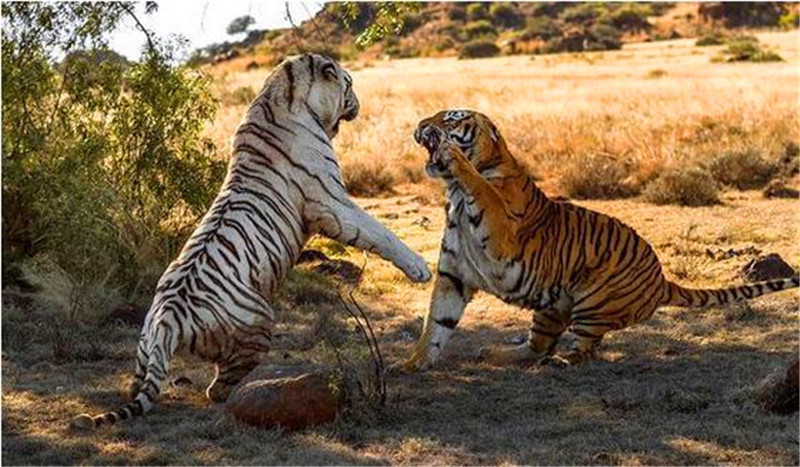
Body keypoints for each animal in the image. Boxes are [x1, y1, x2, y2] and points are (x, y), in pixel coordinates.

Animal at [396, 109, 796, 372]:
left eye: (450, 119)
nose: (421, 126)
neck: (453, 193)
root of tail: (662, 281)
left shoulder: (501, 237)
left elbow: (480, 187)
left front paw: (453, 155)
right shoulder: (453, 275)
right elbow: (435, 326)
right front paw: (411, 364)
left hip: (594, 300)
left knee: (583, 350)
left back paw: (561, 361)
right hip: (551, 306)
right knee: (538, 345)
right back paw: (497, 354)